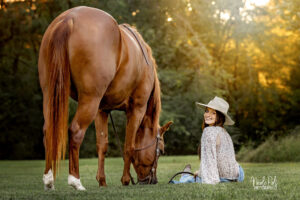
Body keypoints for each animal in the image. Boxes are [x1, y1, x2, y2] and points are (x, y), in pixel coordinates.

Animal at [38, 6, 172, 191]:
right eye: (162, 150)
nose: (152, 180)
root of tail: (68, 19)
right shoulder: (136, 108)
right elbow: (129, 146)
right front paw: (125, 180)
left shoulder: (102, 110)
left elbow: (102, 145)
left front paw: (102, 180)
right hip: (90, 100)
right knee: (76, 131)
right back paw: (75, 181)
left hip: (50, 95)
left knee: (47, 131)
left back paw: (48, 180)